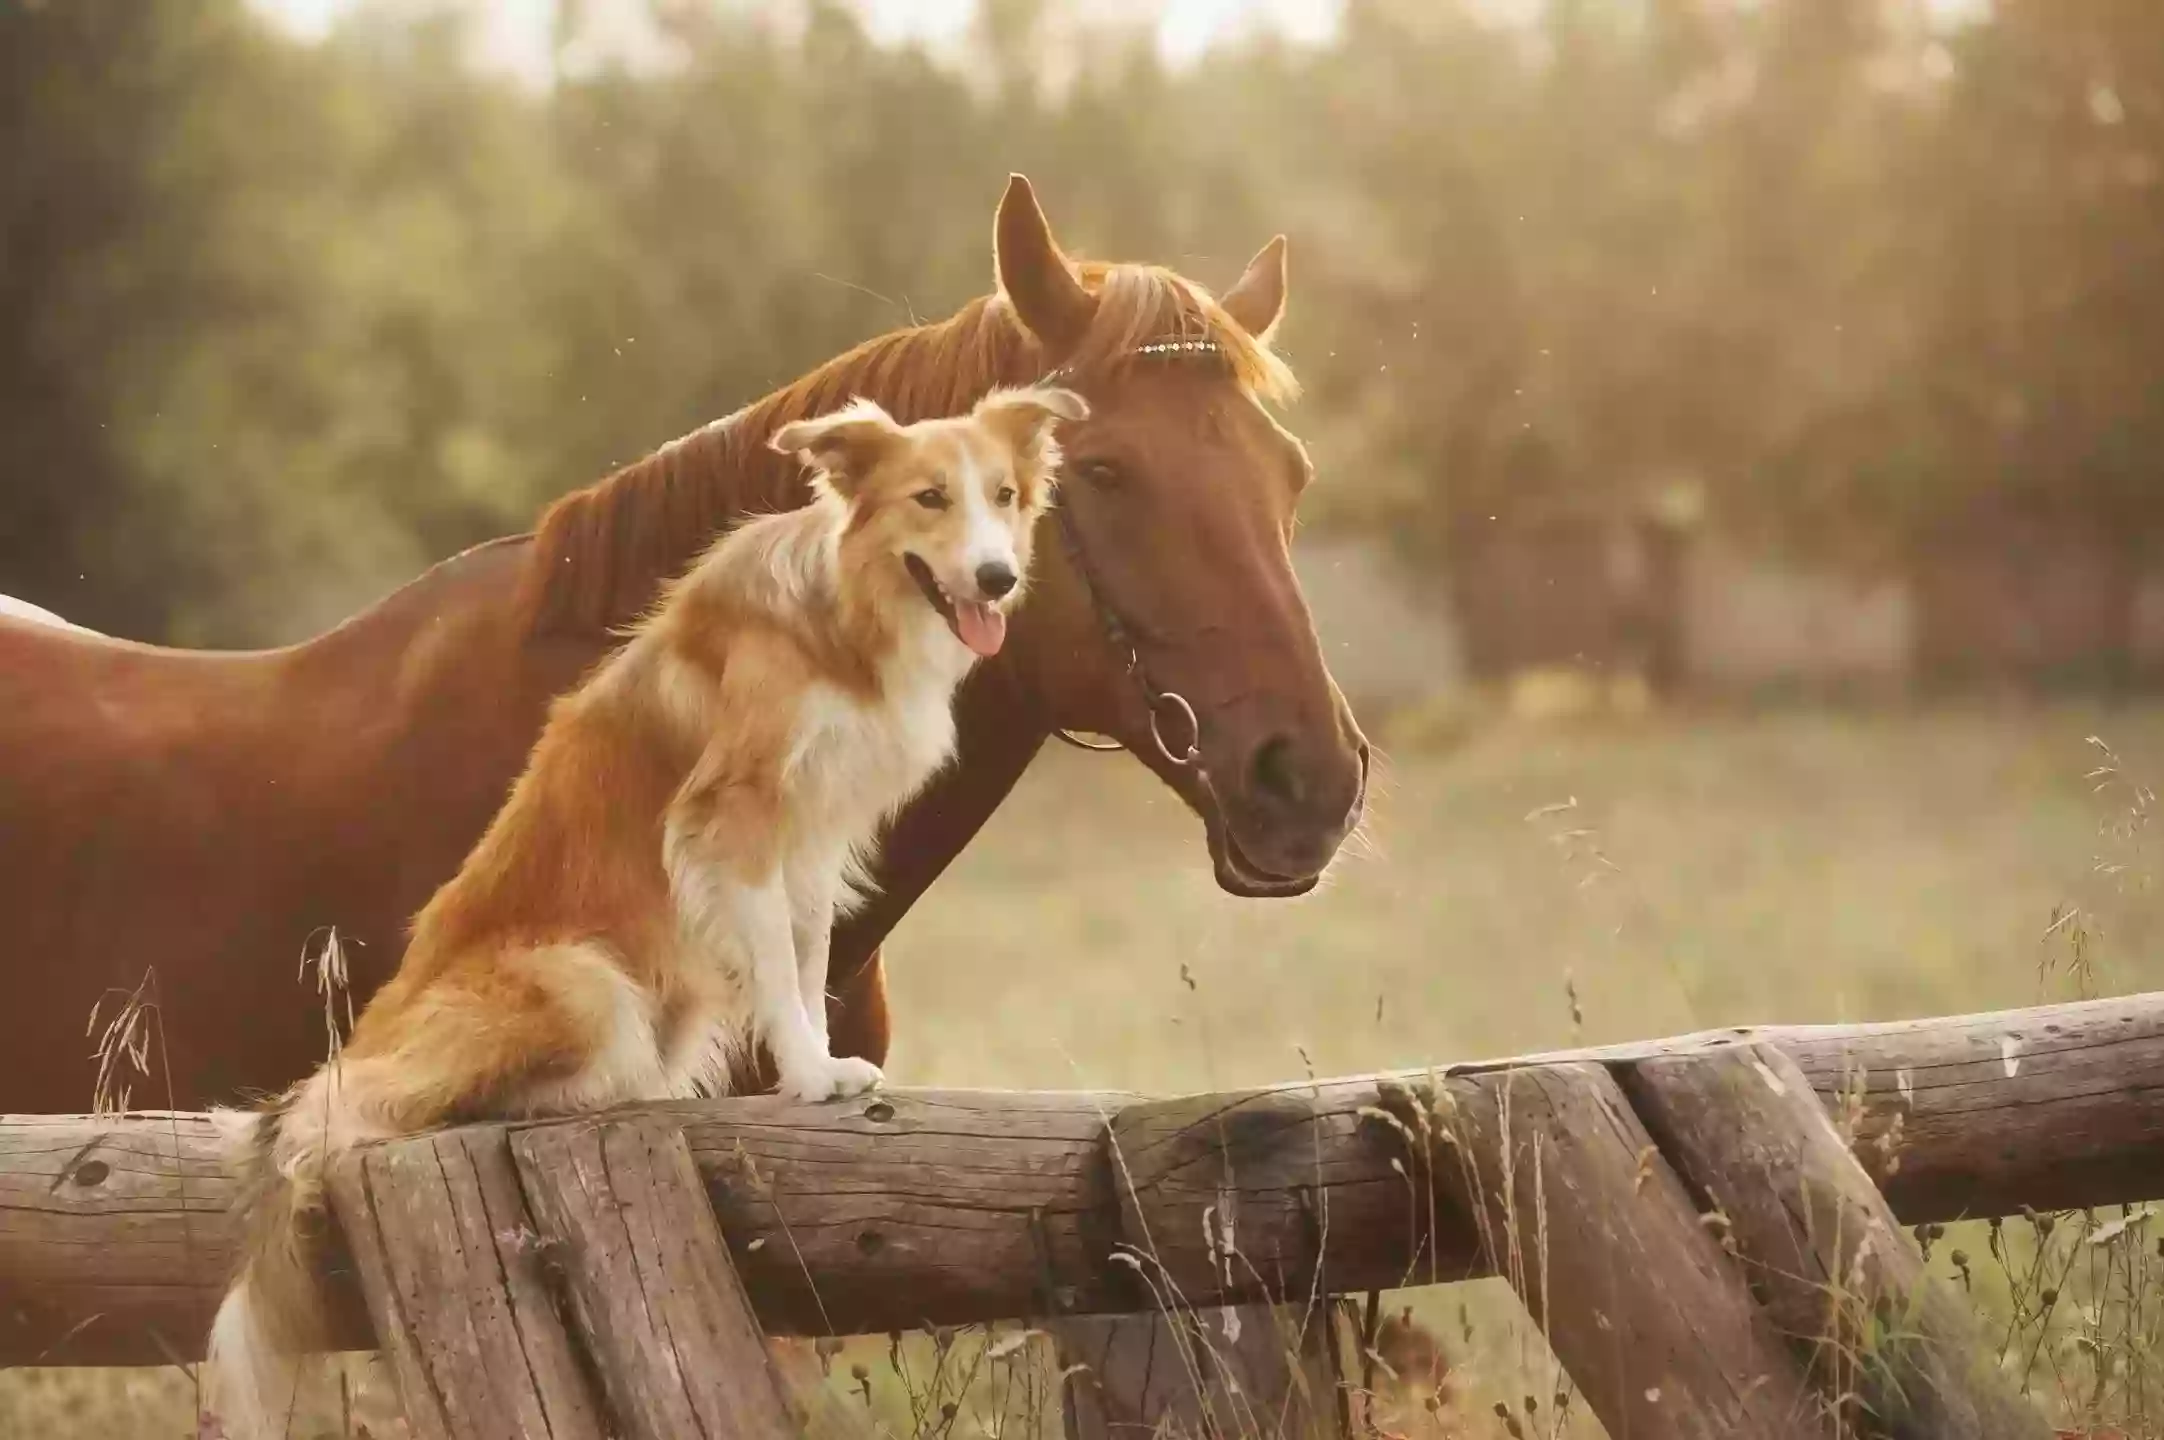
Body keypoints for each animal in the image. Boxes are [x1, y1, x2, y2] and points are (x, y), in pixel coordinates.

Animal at [203, 378, 1082, 1429]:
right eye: (929, 499)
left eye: (1003, 495)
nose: (997, 578)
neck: (842, 613)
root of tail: (365, 1043)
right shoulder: (736, 816)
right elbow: (780, 966)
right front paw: (808, 1077)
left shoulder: (814, 837)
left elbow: (808, 957)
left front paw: (822, 1065)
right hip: (582, 981)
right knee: (414, 1104)